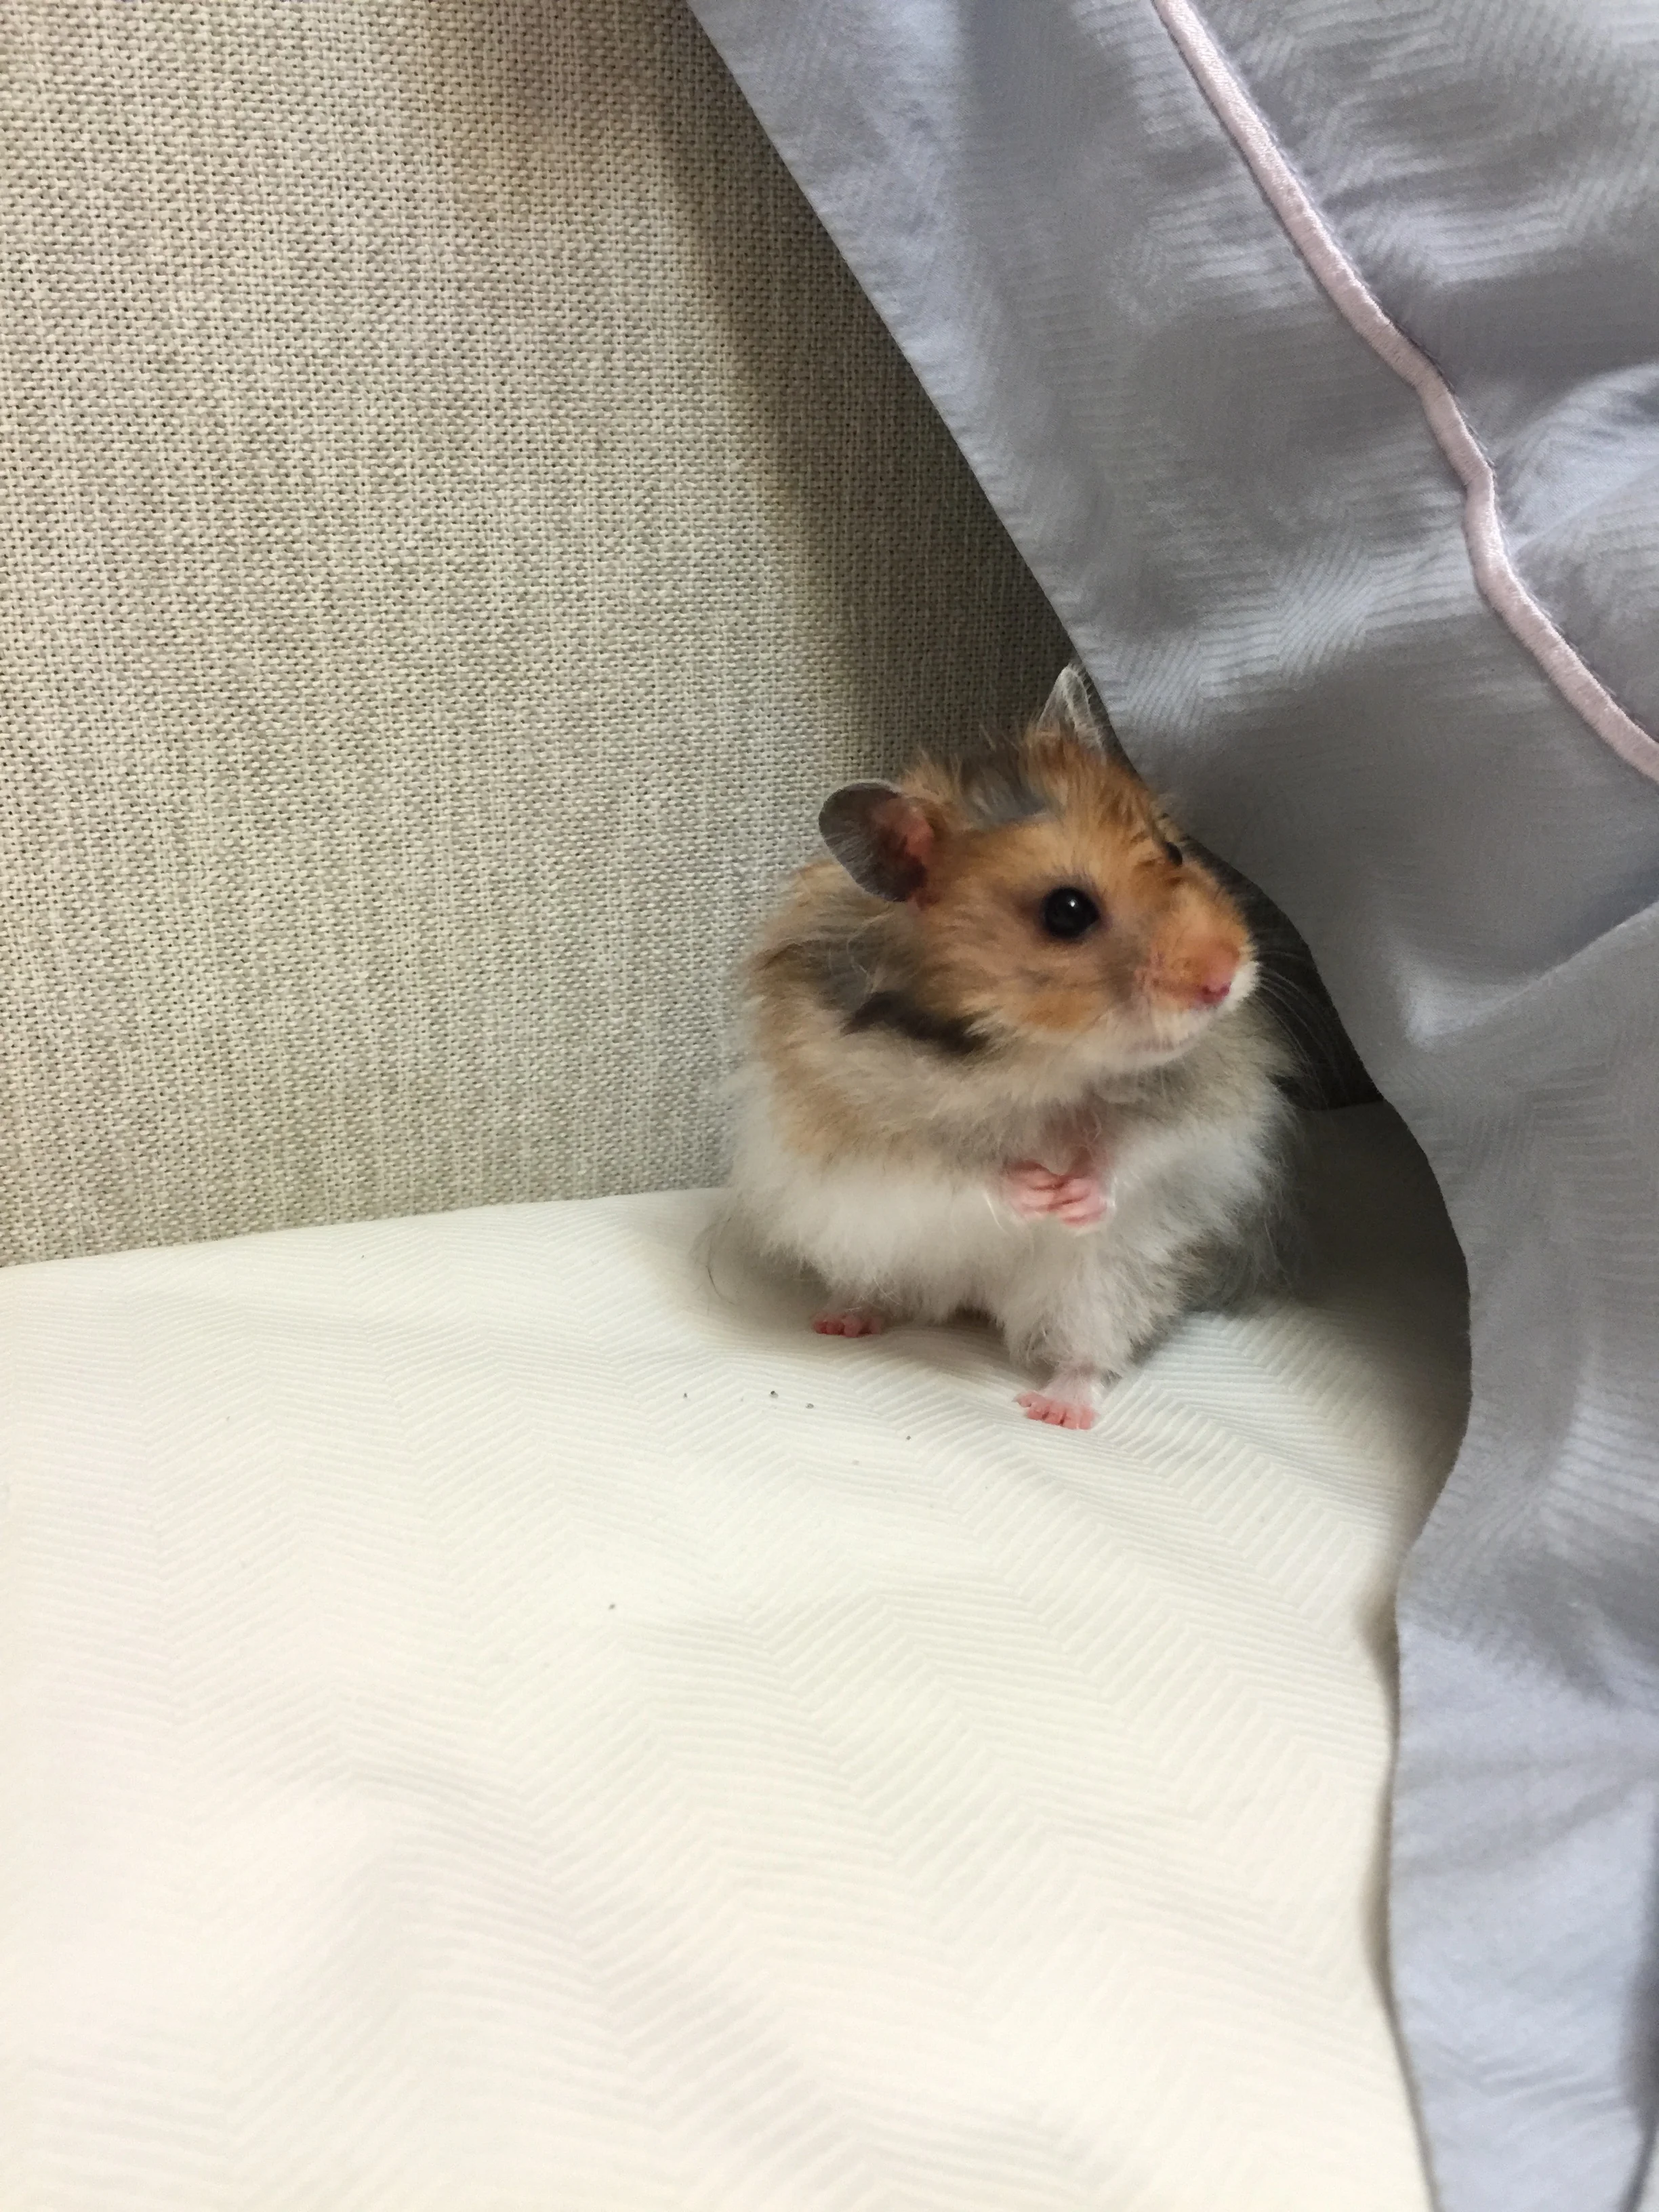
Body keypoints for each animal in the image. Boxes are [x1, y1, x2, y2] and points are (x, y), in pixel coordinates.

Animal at [727, 663, 1292, 1430]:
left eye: (1174, 850)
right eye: (1067, 911)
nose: (1224, 978)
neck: (1035, 1055)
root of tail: (973, 1299)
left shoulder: (1200, 1105)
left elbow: (1135, 1149)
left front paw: (1072, 1196)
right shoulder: (856, 1129)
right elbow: (951, 1169)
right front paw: (1037, 1189)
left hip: (1104, 1284)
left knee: (1087, 1351)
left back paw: (1057, 1410)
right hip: (871, 1246)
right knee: (884, 1287)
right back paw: (842, 1321)